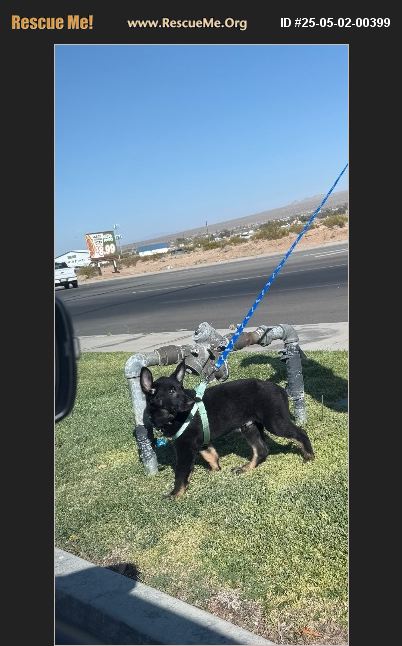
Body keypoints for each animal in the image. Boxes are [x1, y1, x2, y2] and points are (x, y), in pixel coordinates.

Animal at [140, 361, 314, 497]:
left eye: (181, 388)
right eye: (171, 391)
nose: (191, 402)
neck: (171, 416)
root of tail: (280, 389)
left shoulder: (185, 447)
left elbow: (181, 473)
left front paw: (175, 494)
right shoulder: (201, 441)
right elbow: (211, 455)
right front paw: (216, 470)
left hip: (275, 422)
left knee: (301, 433)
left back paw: (309, 456)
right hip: (249, 426)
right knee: (261, 450)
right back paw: (246, 468)